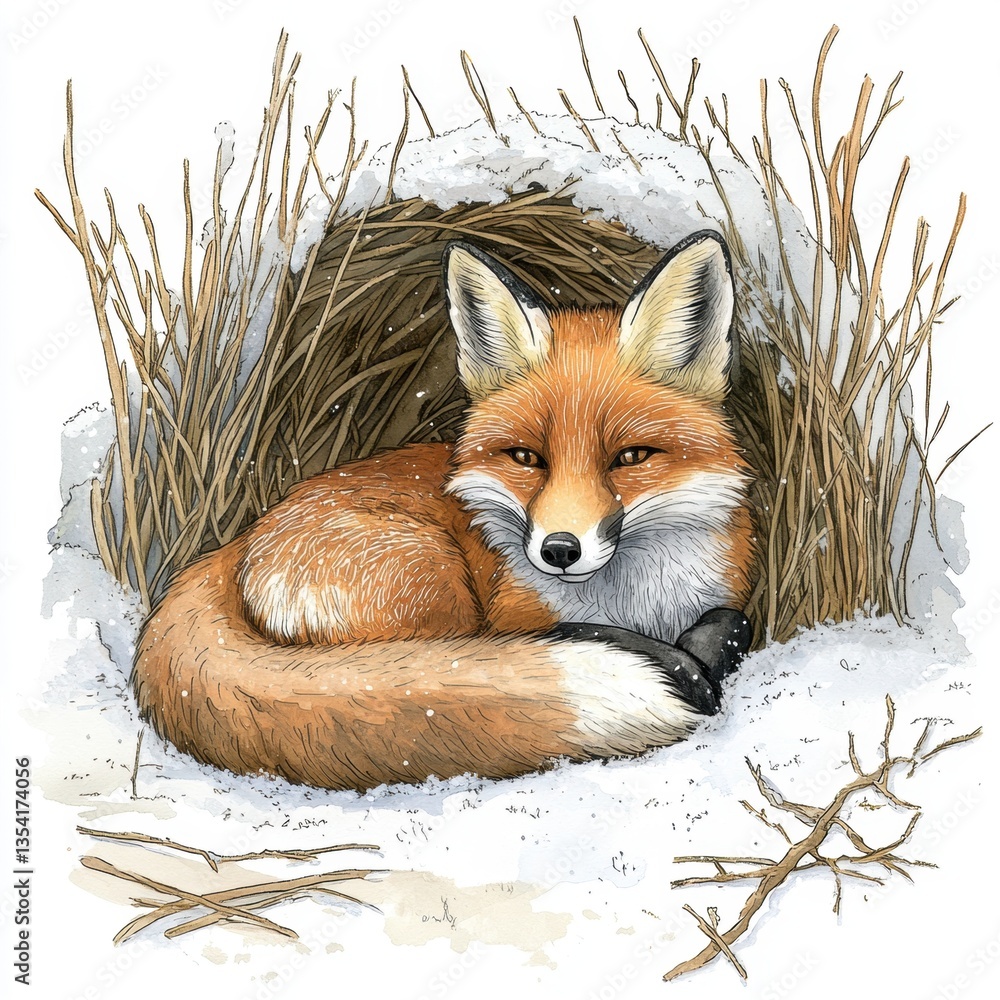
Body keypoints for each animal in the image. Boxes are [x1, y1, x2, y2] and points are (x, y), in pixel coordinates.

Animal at [132, 230, 755, 791]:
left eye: (630, 457)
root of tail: (235, 547)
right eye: (526, 457)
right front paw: (683, 667)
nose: (559, 550)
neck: (634, 601)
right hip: (433, 582)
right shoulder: (511, 614)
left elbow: (735, 619)